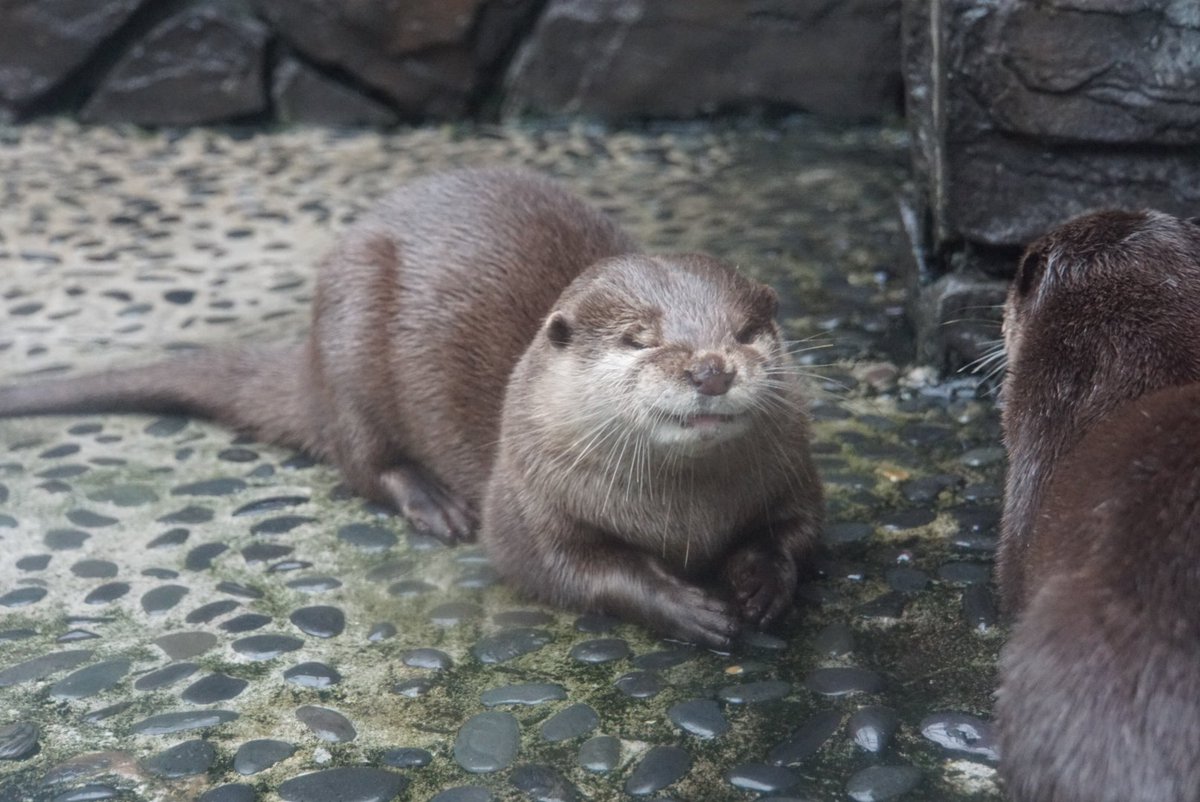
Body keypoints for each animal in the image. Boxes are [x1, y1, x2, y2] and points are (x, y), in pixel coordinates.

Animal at [0, 168, 823, 648]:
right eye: (640, 338)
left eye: (745, 332)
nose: (711, 368)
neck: (684, 517)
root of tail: (308, 355)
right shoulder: (525, 496)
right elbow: (560, 568)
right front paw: (687, 607)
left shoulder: (795, 472)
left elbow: (797, 534)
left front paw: (759, 584)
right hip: (348, 337)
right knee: (359, 459)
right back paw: (432, 503)